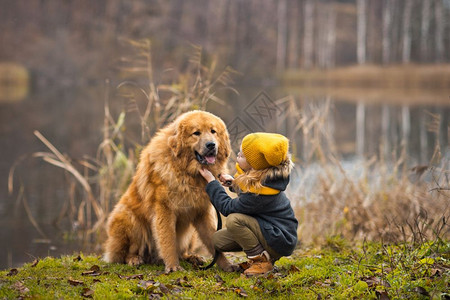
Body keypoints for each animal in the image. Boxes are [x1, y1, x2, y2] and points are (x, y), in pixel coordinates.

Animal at [103, 109, 234, 272]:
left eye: (213, 131)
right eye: (196, 133)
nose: (211, 145)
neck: (186, 172)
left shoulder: (202, 211)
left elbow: (213, 241)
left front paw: (227, 265)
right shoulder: (164, 209)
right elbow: (168, 239)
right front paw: (173, 266)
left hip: (190, 234)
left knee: (183, 251)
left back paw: (192, 257)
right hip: (129, 219)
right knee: (124, 253)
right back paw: (134, 259)